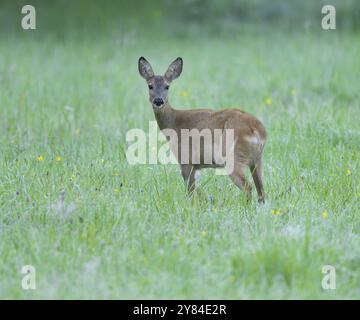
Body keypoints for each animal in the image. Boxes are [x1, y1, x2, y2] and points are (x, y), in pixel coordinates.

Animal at [139, 57, 268, 202]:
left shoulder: (186, 159)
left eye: (167, 86)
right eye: (150, 85)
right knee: (261, 190)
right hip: (257, 159)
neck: (174, 123)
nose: (158, 101)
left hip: (234, 157)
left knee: (248, 188)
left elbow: (190, 192)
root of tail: (257, 130)